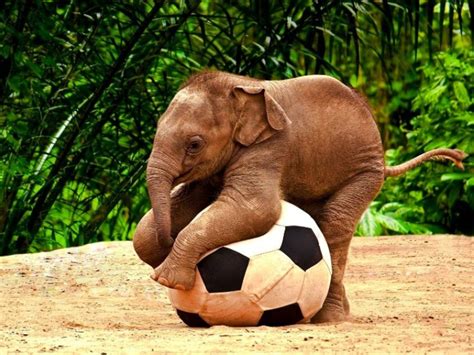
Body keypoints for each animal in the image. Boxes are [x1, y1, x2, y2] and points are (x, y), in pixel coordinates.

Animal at [133, 71, 466, 324]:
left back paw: (328, 319)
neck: (236, 86)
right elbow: (164, 219)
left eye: (194, 144)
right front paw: (162, 259)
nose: (168, 241)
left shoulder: (270, 147)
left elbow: (257, 209)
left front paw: (166, 278)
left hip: (364, 172)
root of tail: (383, 160)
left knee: (334, 225)